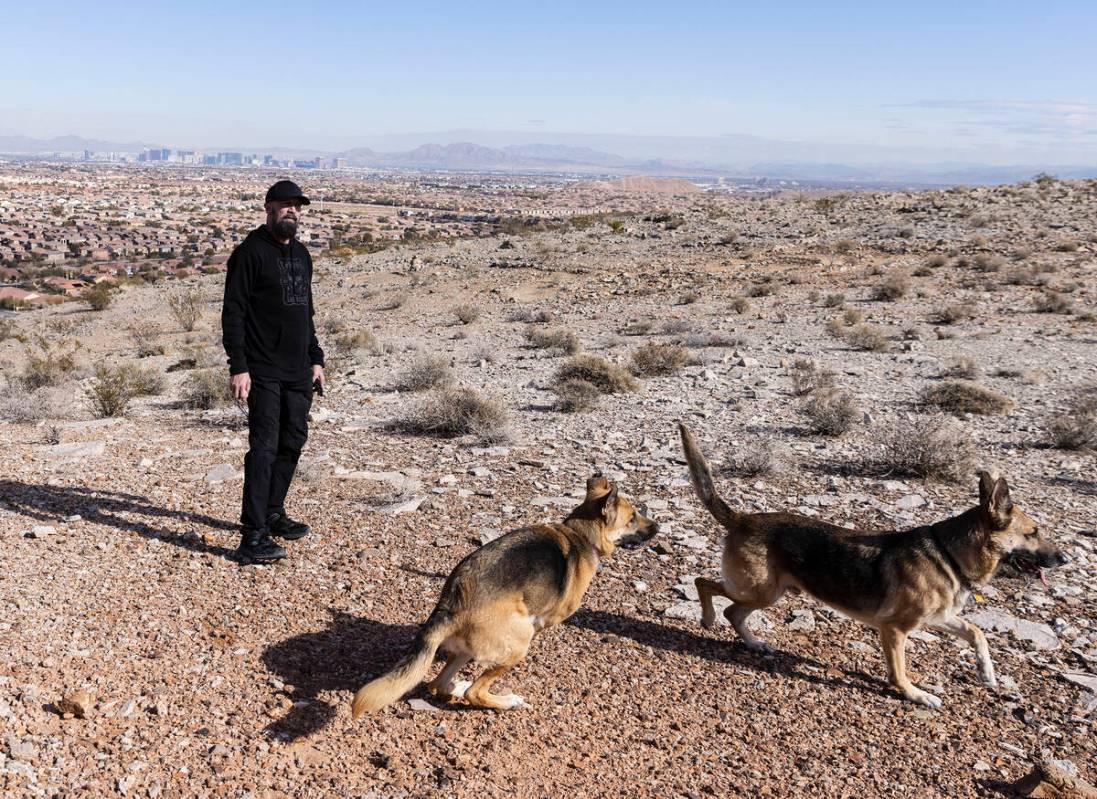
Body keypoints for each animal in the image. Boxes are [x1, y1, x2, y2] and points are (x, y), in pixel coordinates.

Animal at [353, 474, 658, 719]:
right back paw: (505, 701)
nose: (657, 527)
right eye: (633, 518)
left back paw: (456, 685)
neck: (580, 533)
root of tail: (452, 603)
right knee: (473, 692)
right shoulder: (544, 619)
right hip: (519, 642)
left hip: (466, 650)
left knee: (438, 684)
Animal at [675, 423, 1061, 706]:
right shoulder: (894, 629)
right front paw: (915, 694)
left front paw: (987, 673)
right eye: (1034, 532)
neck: (950, 554)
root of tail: (742, 519)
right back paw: (708, 618)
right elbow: (900, 671)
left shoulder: (940, 618)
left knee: (733, 612)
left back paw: (754, 643)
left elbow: (977, 633)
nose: (1064, 558)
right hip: (759, 590)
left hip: (769, 593)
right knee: (705, 585)